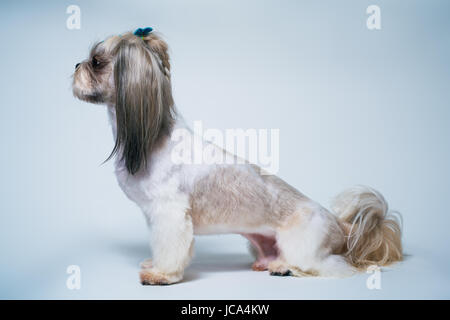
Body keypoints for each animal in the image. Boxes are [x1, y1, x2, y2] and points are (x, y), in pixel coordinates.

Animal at [72, 27, 402, 284]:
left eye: (96, 62)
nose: (76, 65)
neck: (151, 138)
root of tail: (339, 224)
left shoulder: (169, 213)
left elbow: (170, 246)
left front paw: (162, 274)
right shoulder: (156, 216)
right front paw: (154, 264)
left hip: (304, 243)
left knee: (329, 266)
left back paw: (286, 268)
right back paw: (270, 263)